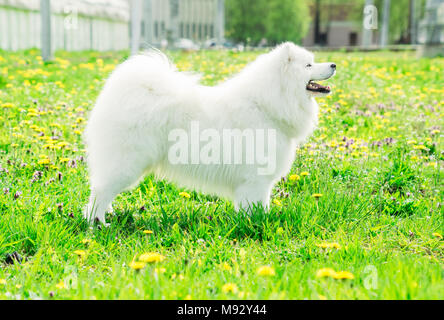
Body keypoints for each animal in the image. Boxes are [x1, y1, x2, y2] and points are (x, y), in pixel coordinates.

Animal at [83, 42, 334, 225]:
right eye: (309, 65)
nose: (333, 64)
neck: (266, 105)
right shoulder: (255, 180)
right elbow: (255, 207)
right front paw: (255, 224)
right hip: (126, 164)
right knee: (99, 192)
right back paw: (97, 224)